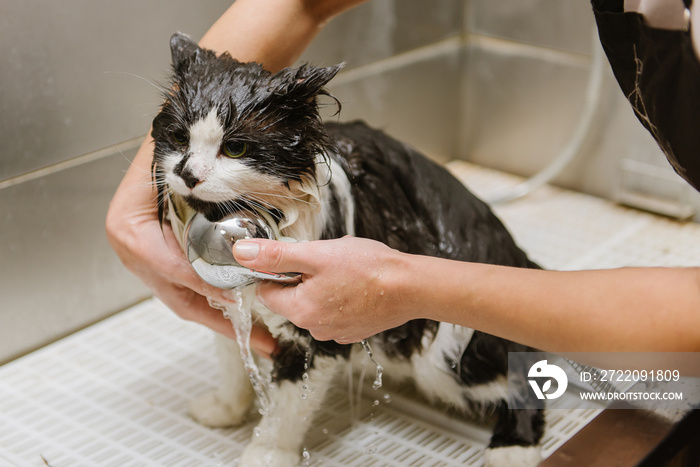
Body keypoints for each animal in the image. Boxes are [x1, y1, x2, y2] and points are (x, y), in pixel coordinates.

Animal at [152, 31, 548, 466]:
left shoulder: (316, 333)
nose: (187, 174)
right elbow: (232, 361)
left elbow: (286, 409)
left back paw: (513, 449)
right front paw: (224, 409)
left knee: (524, 369)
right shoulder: (230, 304)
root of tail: (518, 257)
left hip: (448, 355)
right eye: (179, 138)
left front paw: (267, 453)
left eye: (236, 148)